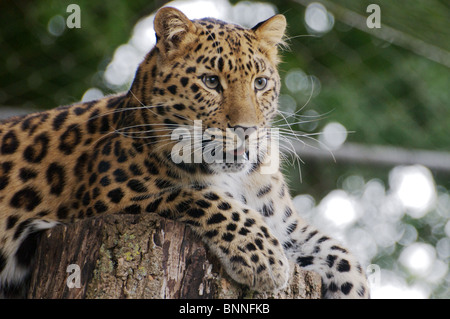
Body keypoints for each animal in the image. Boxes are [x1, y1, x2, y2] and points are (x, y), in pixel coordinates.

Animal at [0, 6, 370, 298]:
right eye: (211, 81)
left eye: (260, 83)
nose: (247, 130)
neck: (239, 178)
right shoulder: (109, 196)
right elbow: (205, 197)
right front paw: (264, 260)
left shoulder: (286, 226)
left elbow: (340, 253)